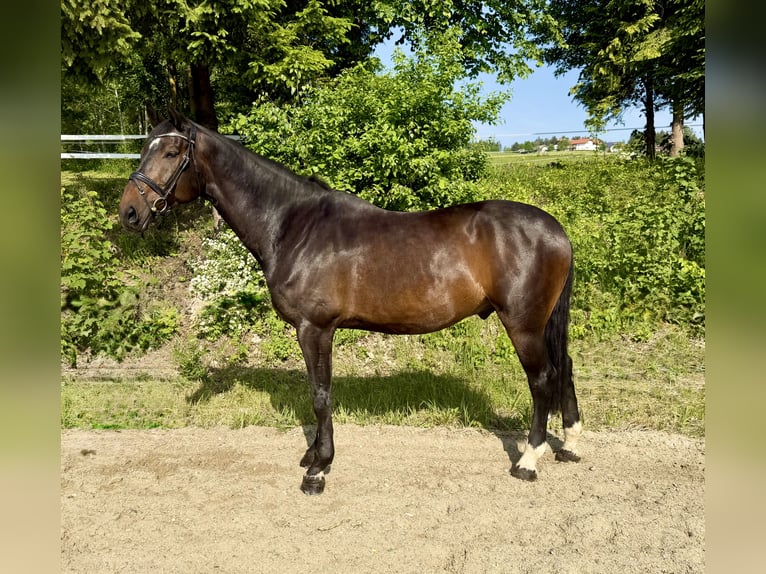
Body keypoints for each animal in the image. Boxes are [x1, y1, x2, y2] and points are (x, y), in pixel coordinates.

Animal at [119, 109, 583, 495]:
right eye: (144, 148)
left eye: (172, 152)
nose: (129, 213)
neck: (293, 226)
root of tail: (556, 230)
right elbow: (316, 394)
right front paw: (312, 455)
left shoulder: (315, 329)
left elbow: (321, 394)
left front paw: (318, 469)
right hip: (543, 323)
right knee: (565, 369)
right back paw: (570, 444)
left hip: (523, 324)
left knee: (543, 380)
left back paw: (528, 461)